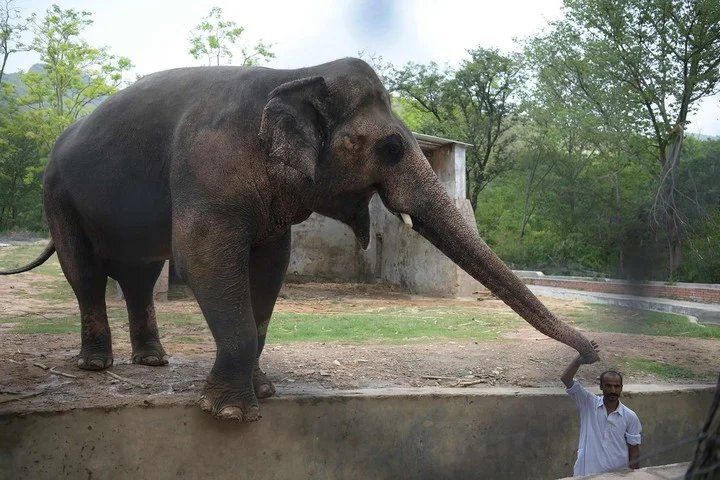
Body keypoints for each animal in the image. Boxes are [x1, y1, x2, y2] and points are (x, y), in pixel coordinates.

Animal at [1, 58, 599, 422]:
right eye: (389, 148)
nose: (588, 358)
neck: (297, 73)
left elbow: (270, 265)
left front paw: (261, 392)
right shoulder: (207, 167)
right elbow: (204, 257)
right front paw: (230, 414)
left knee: (140, 276)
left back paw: (152, 362)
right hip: (57, 196)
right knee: (85, 274)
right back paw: (95, 366)